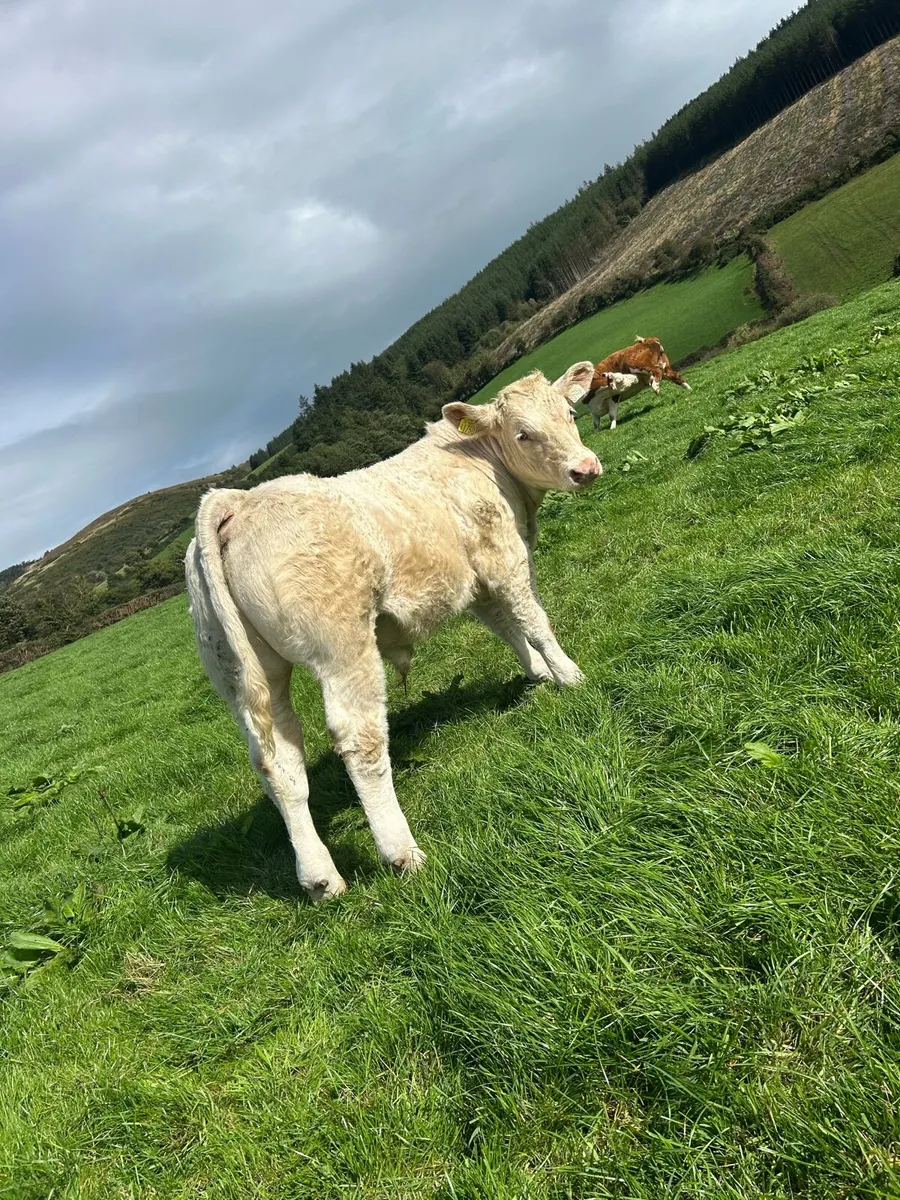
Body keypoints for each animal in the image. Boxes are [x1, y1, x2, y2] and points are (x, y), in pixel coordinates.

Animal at [185, 362, 601, 902]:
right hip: (343, 649)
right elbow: (533, 620)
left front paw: (538, 675)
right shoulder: (503, 558)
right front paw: (569, 676)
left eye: (569, 413)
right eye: (523, 433)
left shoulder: (474, 576)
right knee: (359, 739)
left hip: (245, 672)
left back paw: (320, 877)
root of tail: (238, 500)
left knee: (278, 762)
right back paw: (402, 852)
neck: (479, 460)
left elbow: (505, 626)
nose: (585, 469)